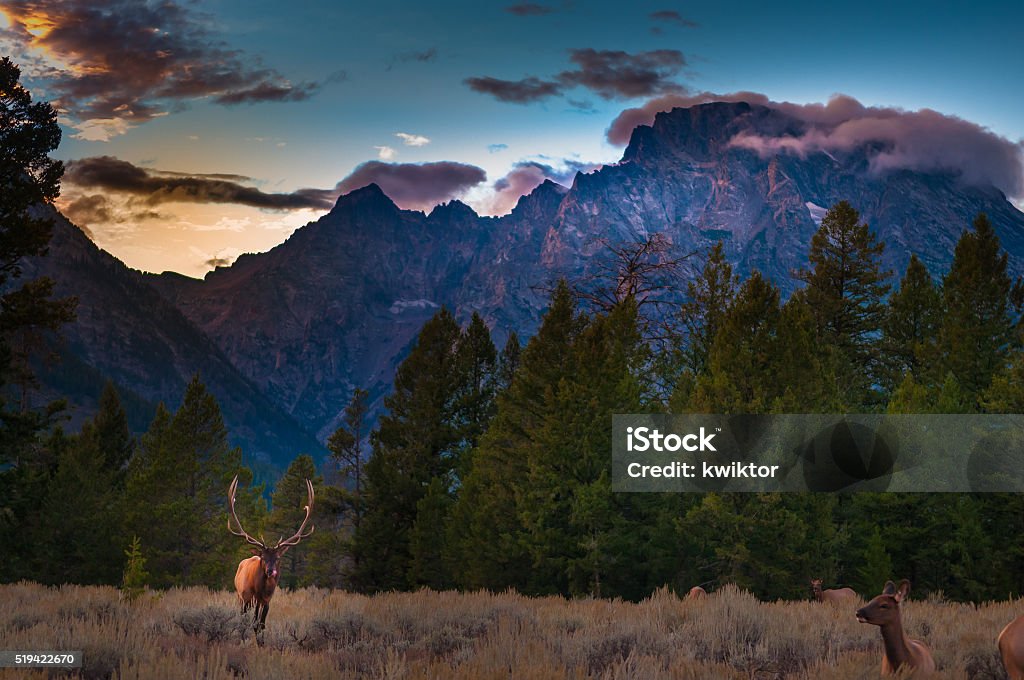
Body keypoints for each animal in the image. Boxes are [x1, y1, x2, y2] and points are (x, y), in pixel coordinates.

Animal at [227, 473, 311, 643]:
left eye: (278, 558)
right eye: (263, 558)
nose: (271, 571)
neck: (261, 590)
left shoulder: (266, 601)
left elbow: (261, 625)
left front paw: (262, 643)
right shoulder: (247, 597)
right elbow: (250, 623)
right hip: (240, 597)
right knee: (243, 618)